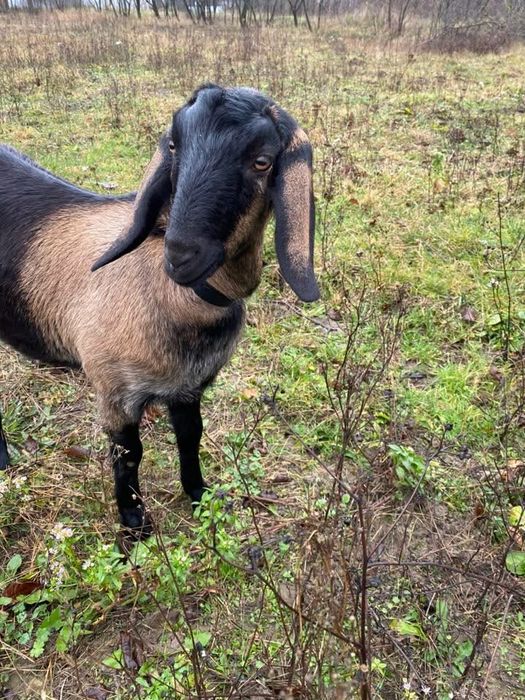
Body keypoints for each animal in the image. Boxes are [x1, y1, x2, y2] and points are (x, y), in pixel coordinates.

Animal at [0, 84, 319, 538]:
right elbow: (129, 454)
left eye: (263, 161)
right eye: (173, 145)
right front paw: (134, 523)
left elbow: (191, 437)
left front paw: (200, 495)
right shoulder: (114, 391)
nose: (181, 253)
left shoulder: (188, 387)